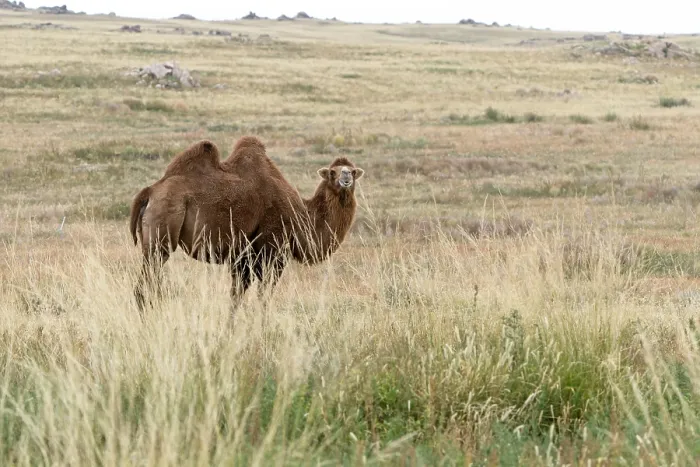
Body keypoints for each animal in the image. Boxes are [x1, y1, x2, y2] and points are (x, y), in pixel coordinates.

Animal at [129, 135, 365, 312]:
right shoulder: (273, 251)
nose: (346, 177)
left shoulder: (242, 257)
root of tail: (150, 192)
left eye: (353, 171)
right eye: (332, 172)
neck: (301, 217)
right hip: (161, 237)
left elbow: (235, 298)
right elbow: (263, 298)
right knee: (144, 287)